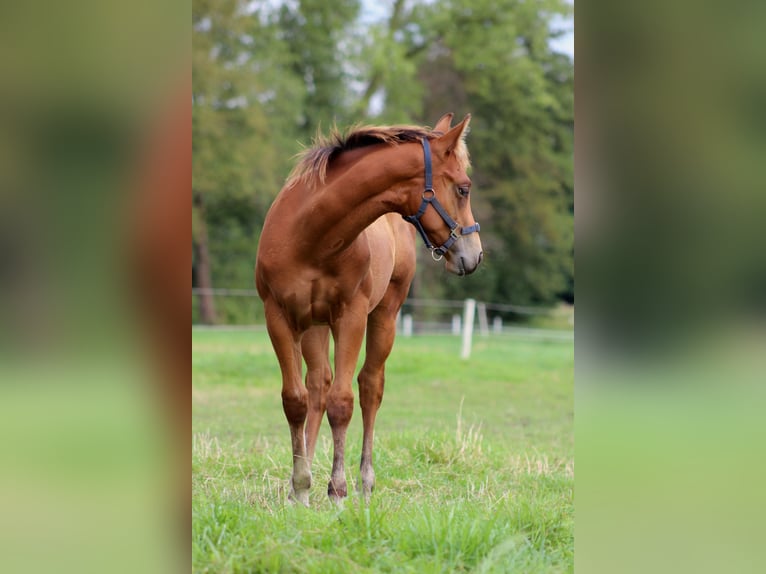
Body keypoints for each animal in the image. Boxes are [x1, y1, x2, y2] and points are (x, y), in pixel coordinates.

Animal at [258, 115, 486, 506]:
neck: (311, 235)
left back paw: (365, 482)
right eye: (463, 188)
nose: (474, 255)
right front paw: (300, 489)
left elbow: (343, 402)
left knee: (369, 387)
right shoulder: (280, 317)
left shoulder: (351, 317)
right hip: (314, 325)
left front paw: (337, 491)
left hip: (383, 316)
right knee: (318, 387)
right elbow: (296, 400)